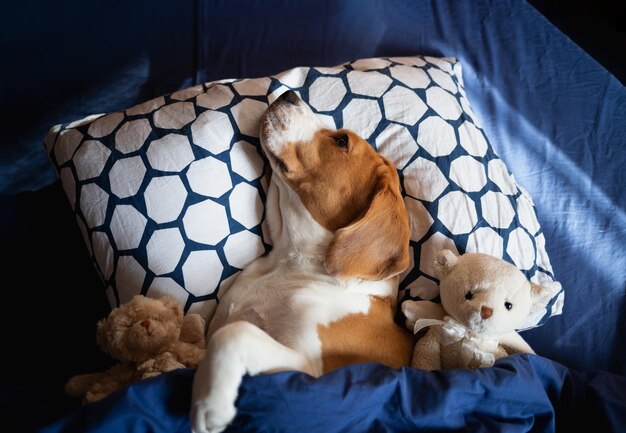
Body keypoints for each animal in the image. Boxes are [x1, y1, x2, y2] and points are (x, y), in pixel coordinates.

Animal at [190, 89, 414, 430]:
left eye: (341, 141)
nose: (289, 93)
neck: (291, 261)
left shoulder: (307, 373)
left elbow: (237, 332)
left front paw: (209, 402)